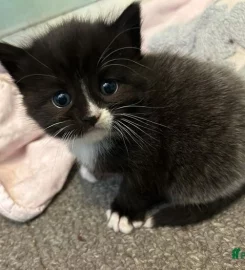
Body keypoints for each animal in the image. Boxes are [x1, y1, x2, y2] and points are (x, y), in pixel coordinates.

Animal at [1, 2, 245, 234]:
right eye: (61, 99)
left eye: (109, 87)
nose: (91, 117)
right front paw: (92, 171)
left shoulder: (153, 143)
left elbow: (140, 183)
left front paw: (123, 212)